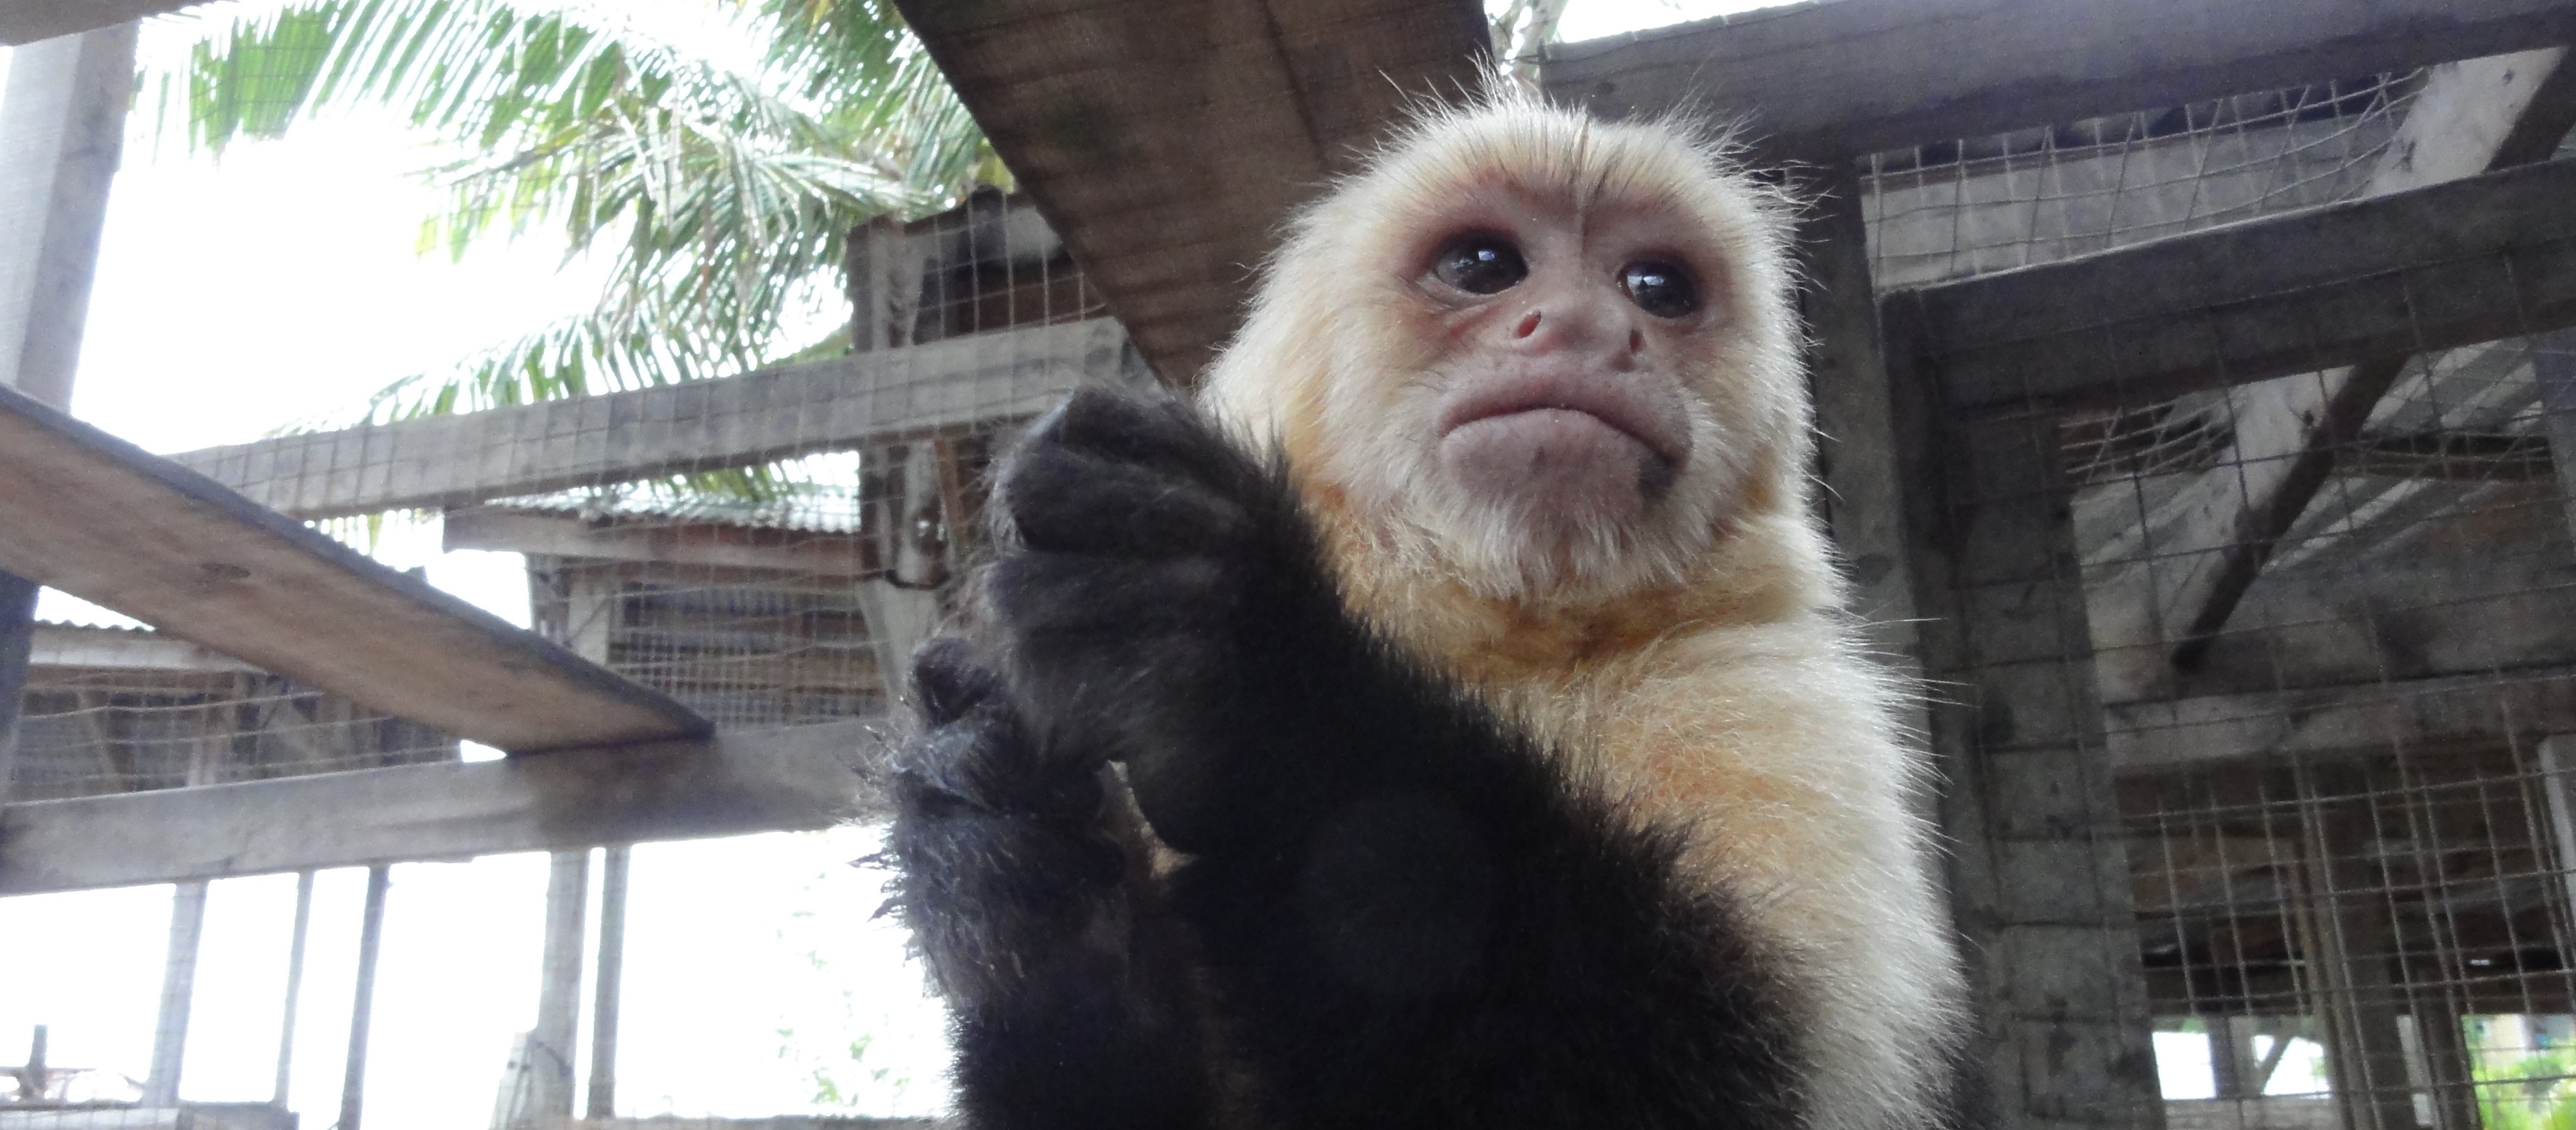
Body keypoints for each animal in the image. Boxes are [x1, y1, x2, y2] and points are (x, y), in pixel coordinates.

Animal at [885, 89, 1972, 1130]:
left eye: (1657, 289)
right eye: (1484, 265)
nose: (1589, 326)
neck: (1501, 631)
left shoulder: (1785, 696)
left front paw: (1241, 666)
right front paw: (1037, 894)